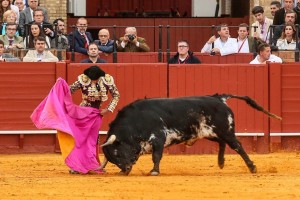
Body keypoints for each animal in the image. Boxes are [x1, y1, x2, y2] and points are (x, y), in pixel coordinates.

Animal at [100, 94, 282, 175]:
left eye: (116, 152)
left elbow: (156, 156)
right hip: (211, 132)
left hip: (226, 131)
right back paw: (221, 162)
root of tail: (219, 98)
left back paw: (252, 167)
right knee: (222, 143)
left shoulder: (159, 137)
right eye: (112, 159)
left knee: (237, 146)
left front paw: (154, 171)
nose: (125, 169)